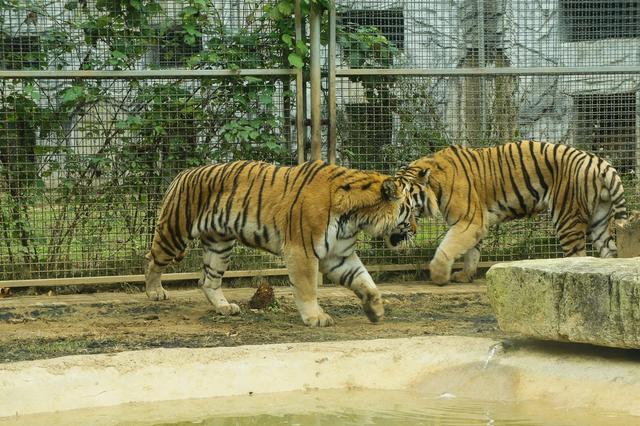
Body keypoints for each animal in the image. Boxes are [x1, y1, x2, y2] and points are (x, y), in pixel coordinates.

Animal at [146, 159, 424, 326]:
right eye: (410, 211)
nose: (416, 230)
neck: (357, 217)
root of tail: (183, 173)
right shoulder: (303, 251)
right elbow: (307, 288)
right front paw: (316, 318)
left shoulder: (339, 256)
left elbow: (366, 281)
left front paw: (376, 310)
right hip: (174, 233)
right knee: (153, 261)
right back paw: (155, 292)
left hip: (220, 245)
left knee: (208, 280)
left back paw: (225, 308)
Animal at [398, 141, 628, 286]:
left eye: (403, 196)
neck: (435, 184)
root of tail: (599, 162)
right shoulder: (476, 223)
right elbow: (473, 252)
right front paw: (465, 275)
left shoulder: (469, 220)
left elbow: (447, 248)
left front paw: (438, 276)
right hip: (599, 219)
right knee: (610, 252)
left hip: (567, 217)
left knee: (577, 256)